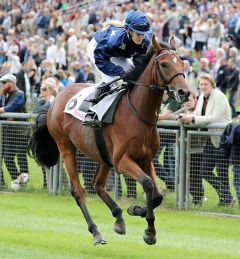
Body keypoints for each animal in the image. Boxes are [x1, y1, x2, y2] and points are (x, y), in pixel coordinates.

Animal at [28, 35, 189, 247]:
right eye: (163, 64)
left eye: (181, 62)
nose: (184, 92)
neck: (138, 114)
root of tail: (55, 100)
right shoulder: (122, 161)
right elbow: (147, 184)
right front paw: (149, 230)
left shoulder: (146, 160)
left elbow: (158, 195)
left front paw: (136, 210)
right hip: (67, 148)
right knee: (79, 191)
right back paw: (96, 232)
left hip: (103, 154)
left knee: (97, 184)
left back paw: (119, 217)